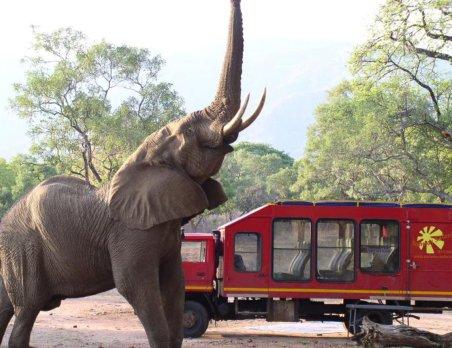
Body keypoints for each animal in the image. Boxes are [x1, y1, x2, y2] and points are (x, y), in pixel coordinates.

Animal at [0, 0, 264, 346]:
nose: (233, 2)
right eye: (188, 133)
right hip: (23, 249)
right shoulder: (130, 231)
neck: (142, 161)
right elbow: (137, 288)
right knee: (26, 307)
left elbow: (175, 287)